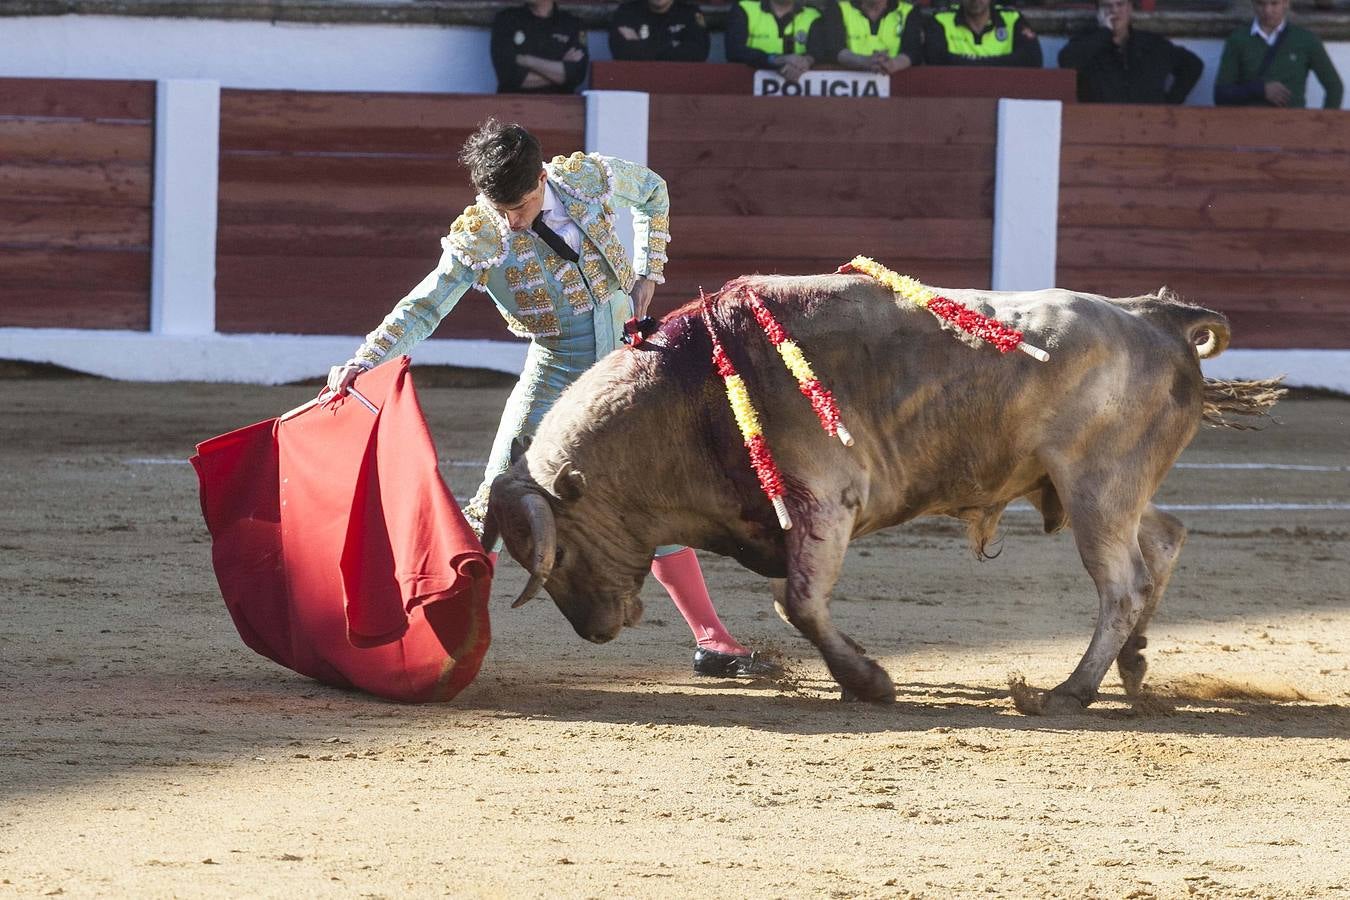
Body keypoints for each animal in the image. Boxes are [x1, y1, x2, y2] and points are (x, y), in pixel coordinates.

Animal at [483, 271, 1274, 712]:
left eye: (559, 552)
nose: (595, 631)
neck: (692, 393)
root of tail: (1154, 317)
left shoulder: (826, 502)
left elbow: (798, 601)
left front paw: (869, 683)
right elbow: (795, 600)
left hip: (1096, 489)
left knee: (1121, 585)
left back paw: (1065, 693)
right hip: (1101, 488)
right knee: (1162, 541)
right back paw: (1133, 664)